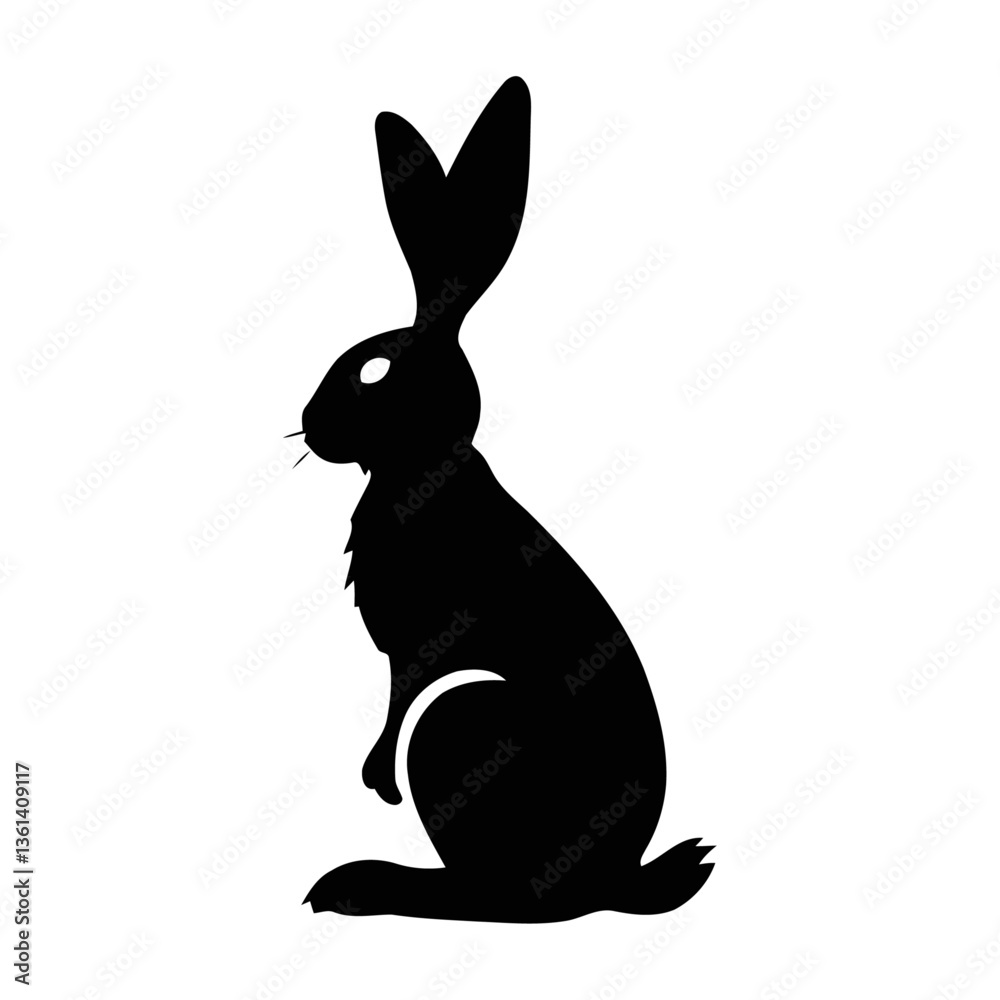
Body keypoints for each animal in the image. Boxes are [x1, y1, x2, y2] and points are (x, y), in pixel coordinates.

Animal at [297, 77, 713, 922]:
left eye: (373, 371)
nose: (307, 424)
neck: (423, 463)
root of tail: (612, 883)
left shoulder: (425, 633)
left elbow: (402, 688)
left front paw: (375, 779)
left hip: (465, 724)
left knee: (500, 898)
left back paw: (364, 883)